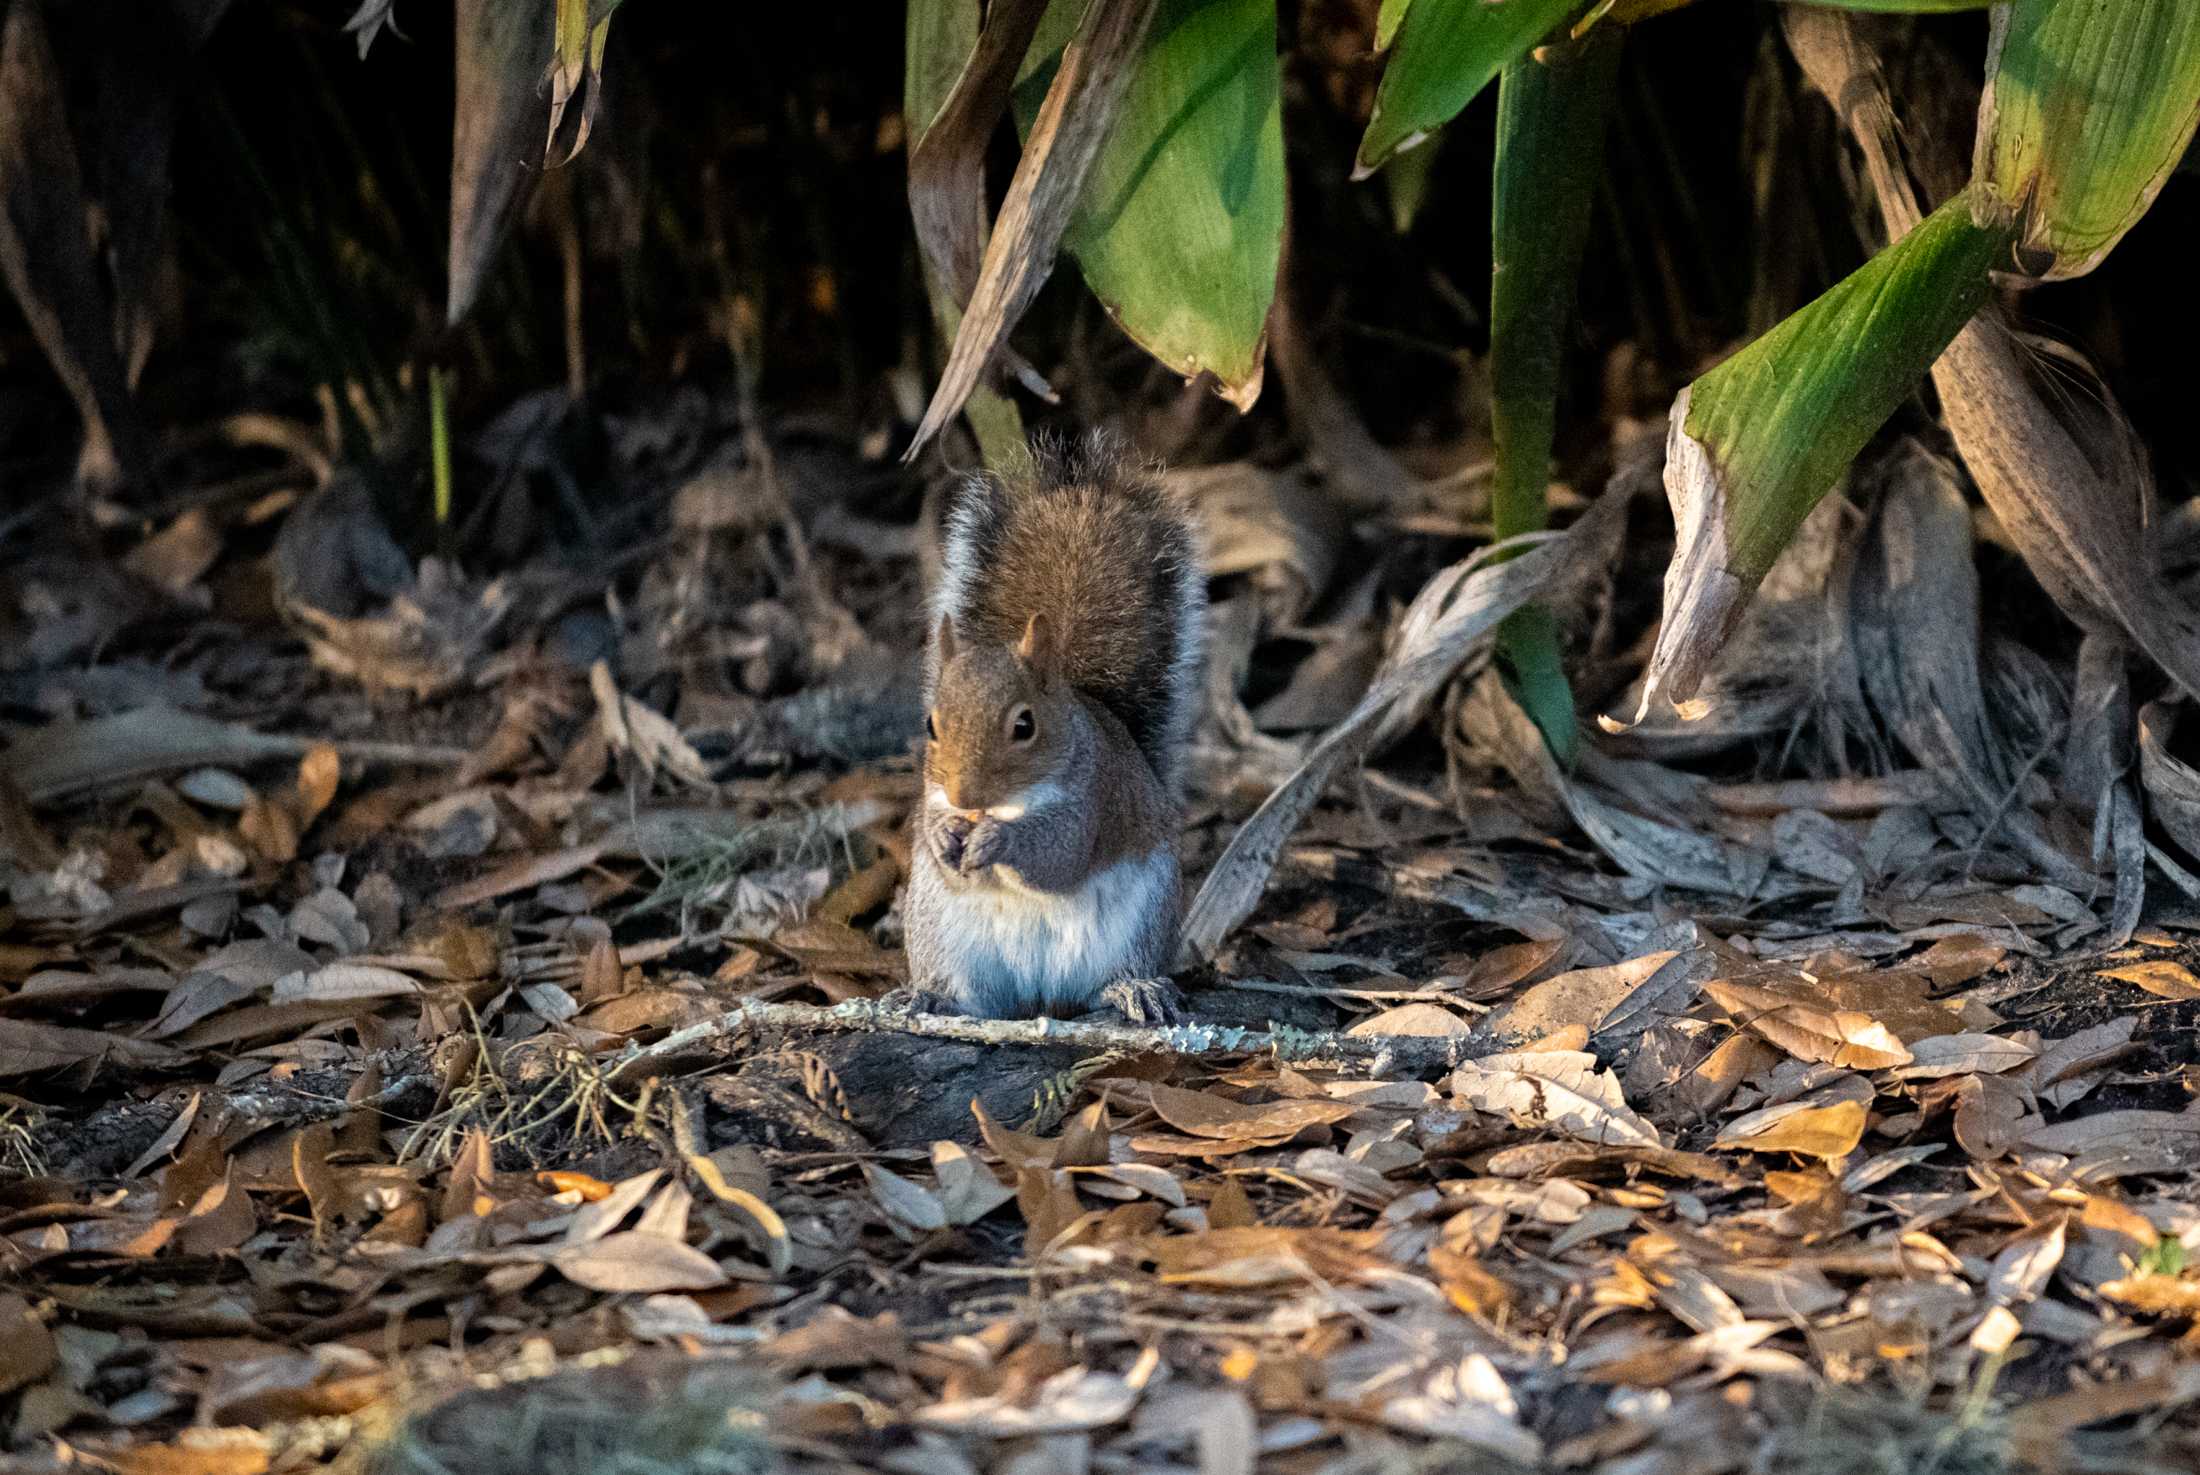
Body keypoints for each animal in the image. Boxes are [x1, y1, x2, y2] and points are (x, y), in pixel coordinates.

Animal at [897, 433, 1205, 1021]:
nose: (964, 795)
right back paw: (929, 996)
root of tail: (1035, 996)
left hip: (1142, 919)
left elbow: (1058, 855)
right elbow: (935, 836)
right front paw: (945, 835)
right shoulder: (931, 795)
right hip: (940, 935)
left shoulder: (1092, 799)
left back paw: (1135, 989)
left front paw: (1000, 840)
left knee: (1106, 980)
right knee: (969, 1000)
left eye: (1025, 725)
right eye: (930, 724)